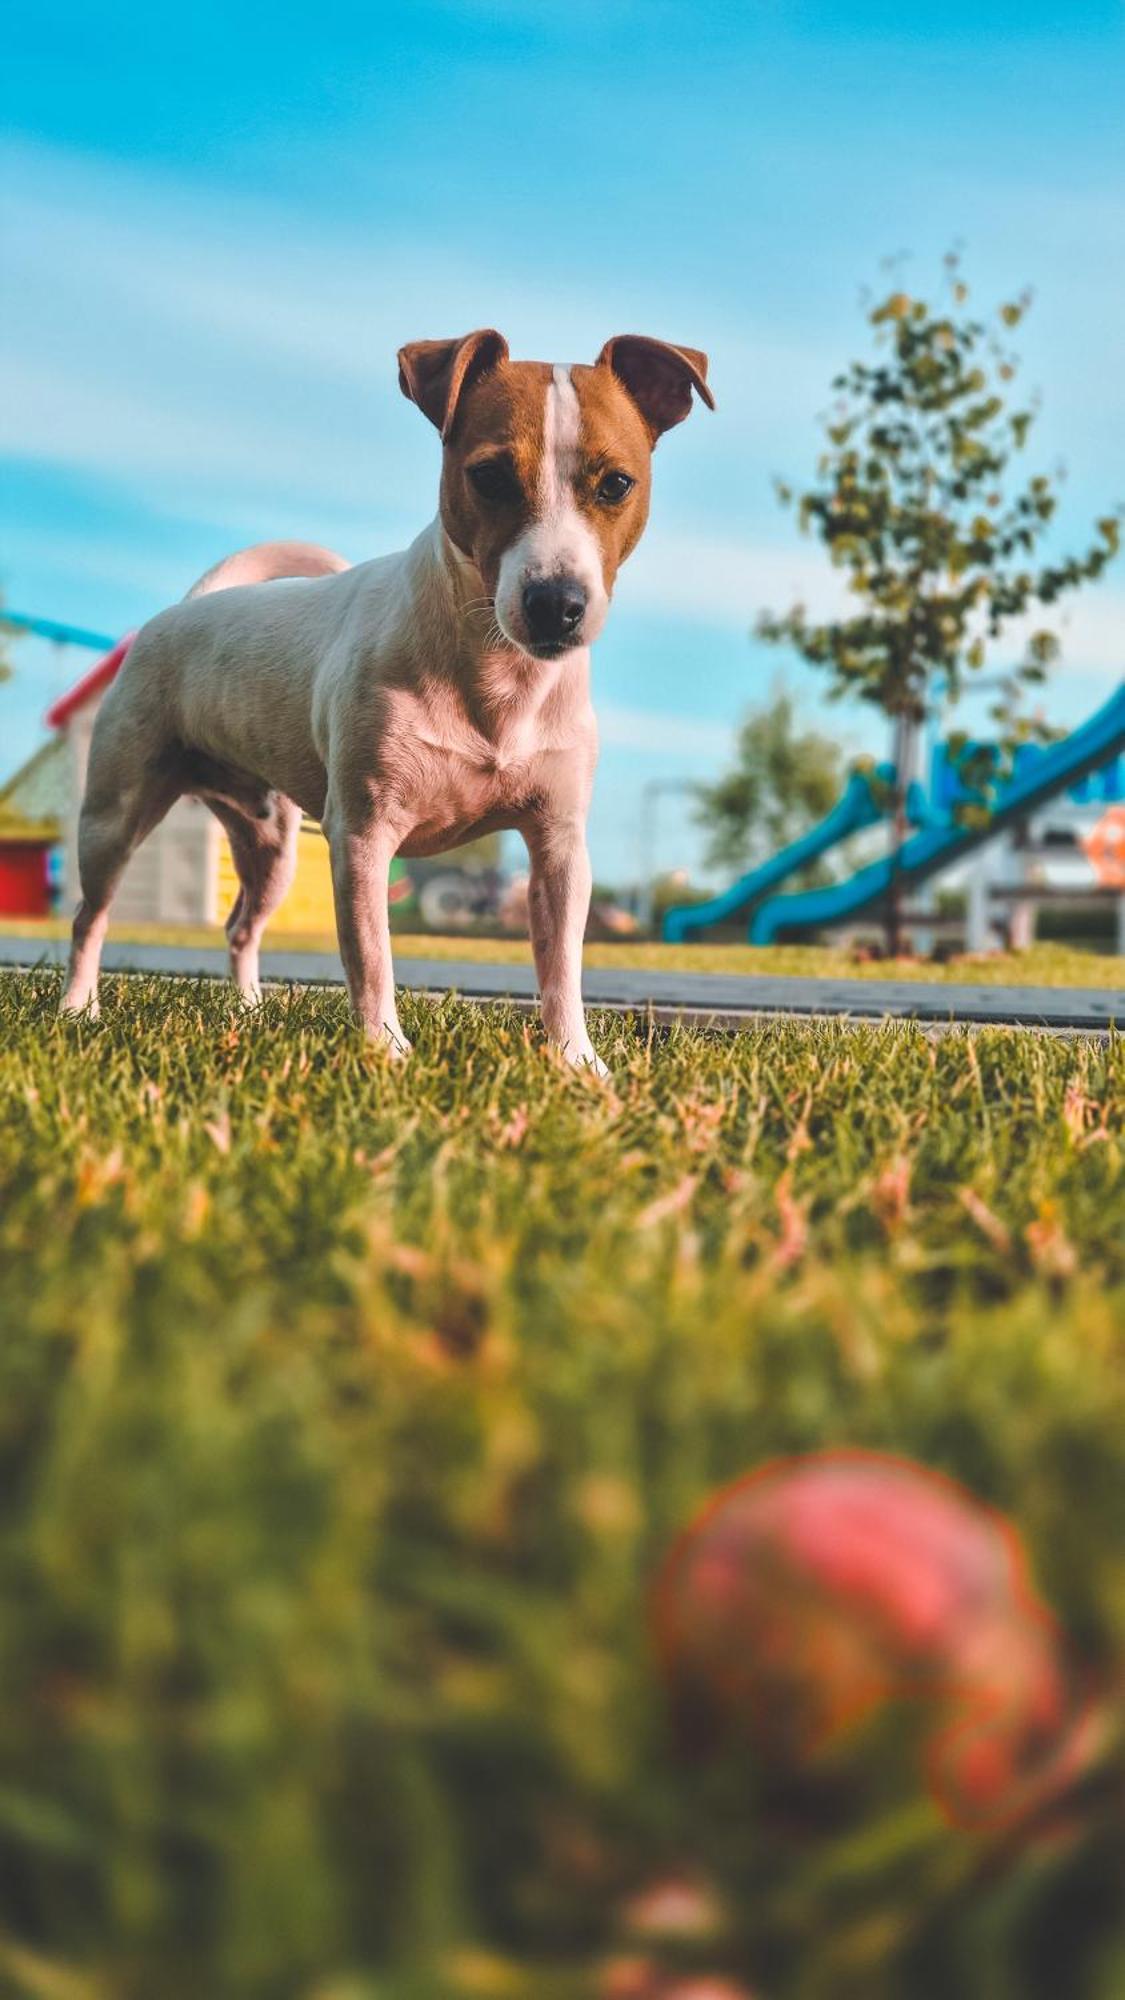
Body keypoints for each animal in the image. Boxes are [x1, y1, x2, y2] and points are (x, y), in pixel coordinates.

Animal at [61, 330, 708, 1072]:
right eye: (489, 476)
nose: (556, 603)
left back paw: (248, 1011)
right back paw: (77, 1008)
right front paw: (386, 1051)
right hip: (113, 818)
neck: (495, 675)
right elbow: (370, 957)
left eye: (616, 484)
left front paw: (578, 1061)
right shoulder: (364, 836)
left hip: (271, 845)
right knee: (90, 916)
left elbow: (561, 968)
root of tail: (191, 605)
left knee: (239, 926)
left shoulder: (559, 847)